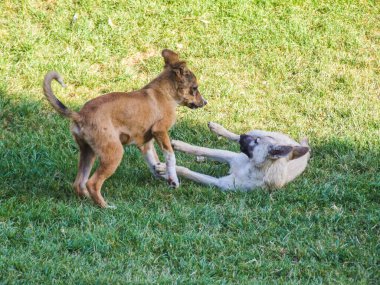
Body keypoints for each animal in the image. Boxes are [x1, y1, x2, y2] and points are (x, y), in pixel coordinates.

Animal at [43, 49, 206, 206]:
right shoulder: (160, 130)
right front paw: (174, 180)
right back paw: (106, 206)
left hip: (88, 153)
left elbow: (154, 163)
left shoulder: (146, 144)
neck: (164, 93)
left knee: (79, 184)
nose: (205, 102)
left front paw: (164, 175)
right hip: (114, 153)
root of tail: (80, 115)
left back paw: (90, 201)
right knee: (92, 183)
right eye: (195, 88)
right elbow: (170, 157)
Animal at [156, 121, 310, 190]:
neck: (251, 166)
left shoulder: (219, 182)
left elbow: (187, 171)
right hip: (258, 130)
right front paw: (181, 145)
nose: (243, 135)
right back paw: (218, 128)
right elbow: (201, 149)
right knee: (233, 136)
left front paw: (164, 168)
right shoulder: (230, 156)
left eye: (256, 141)